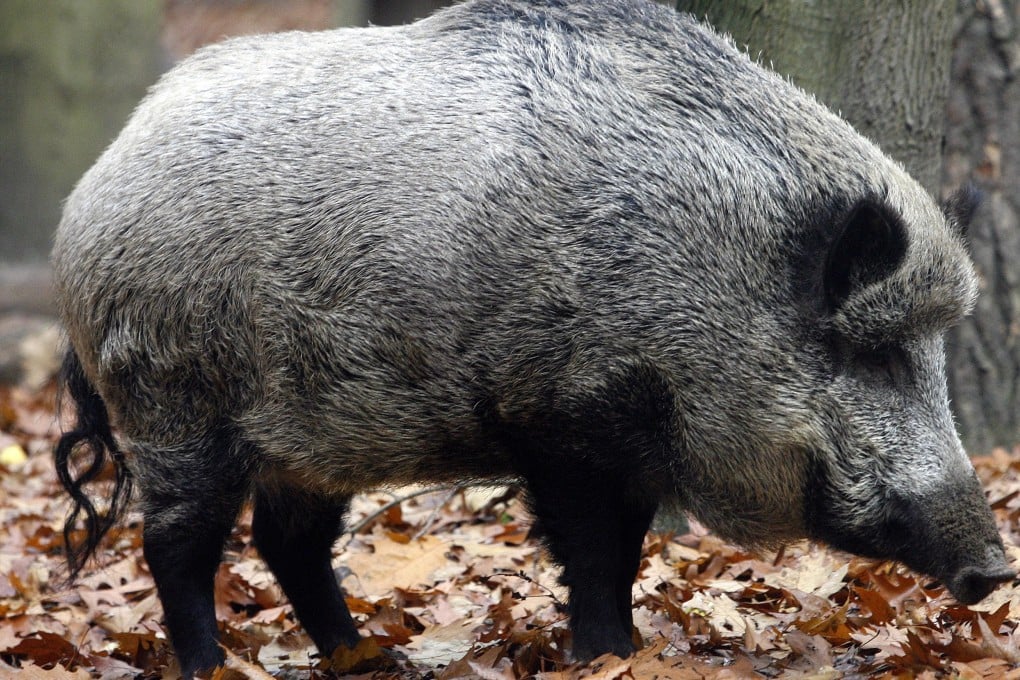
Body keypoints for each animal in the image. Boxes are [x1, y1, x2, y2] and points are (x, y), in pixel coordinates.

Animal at [52, 0, 1013, 676]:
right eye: (870, 353)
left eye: (935, 353)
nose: (995, 570)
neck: (704, 269)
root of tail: (90, 193)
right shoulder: (562, 417)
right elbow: (594, 552)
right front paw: (609, 656)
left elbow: (623, 551)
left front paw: (622, 652)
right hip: (172, 402)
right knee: (176, 545)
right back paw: (211, 668)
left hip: (309, 431)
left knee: (288, 543)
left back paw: (367, 660)